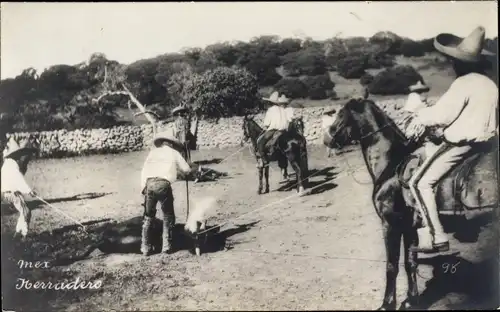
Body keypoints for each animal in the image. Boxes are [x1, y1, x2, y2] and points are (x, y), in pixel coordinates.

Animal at [322, 97, 498, 310]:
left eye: (341, 114)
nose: (327, 139)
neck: (390, 164)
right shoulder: (409, 227)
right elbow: (410, 263)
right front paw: (411, 301)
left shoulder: (390, 224)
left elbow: (392, 265)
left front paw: (387, 304)